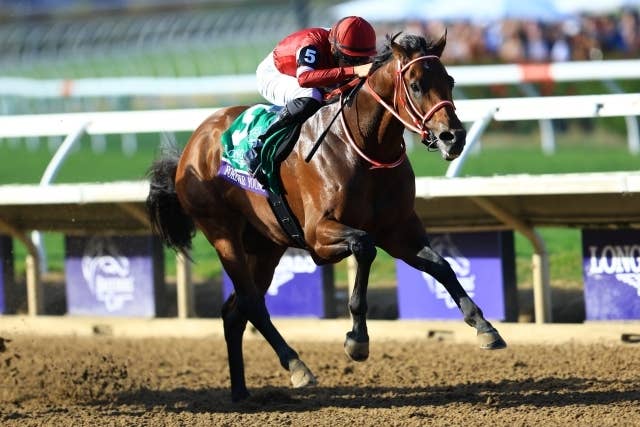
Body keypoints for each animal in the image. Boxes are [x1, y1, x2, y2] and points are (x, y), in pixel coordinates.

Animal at [146, 32, 506, 402]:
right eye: (416, 85)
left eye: (449, 81)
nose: (454, 137)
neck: (365, 147)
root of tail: (193, 144)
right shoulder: (319, 234)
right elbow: (365, 247)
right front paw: (357, 340)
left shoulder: (399, 230)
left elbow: (441, 265)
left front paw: (484, 327)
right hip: (223, 234)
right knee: (252, 303)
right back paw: (297, 366)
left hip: (264, 247)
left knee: (236, 311)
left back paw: (241, 392)